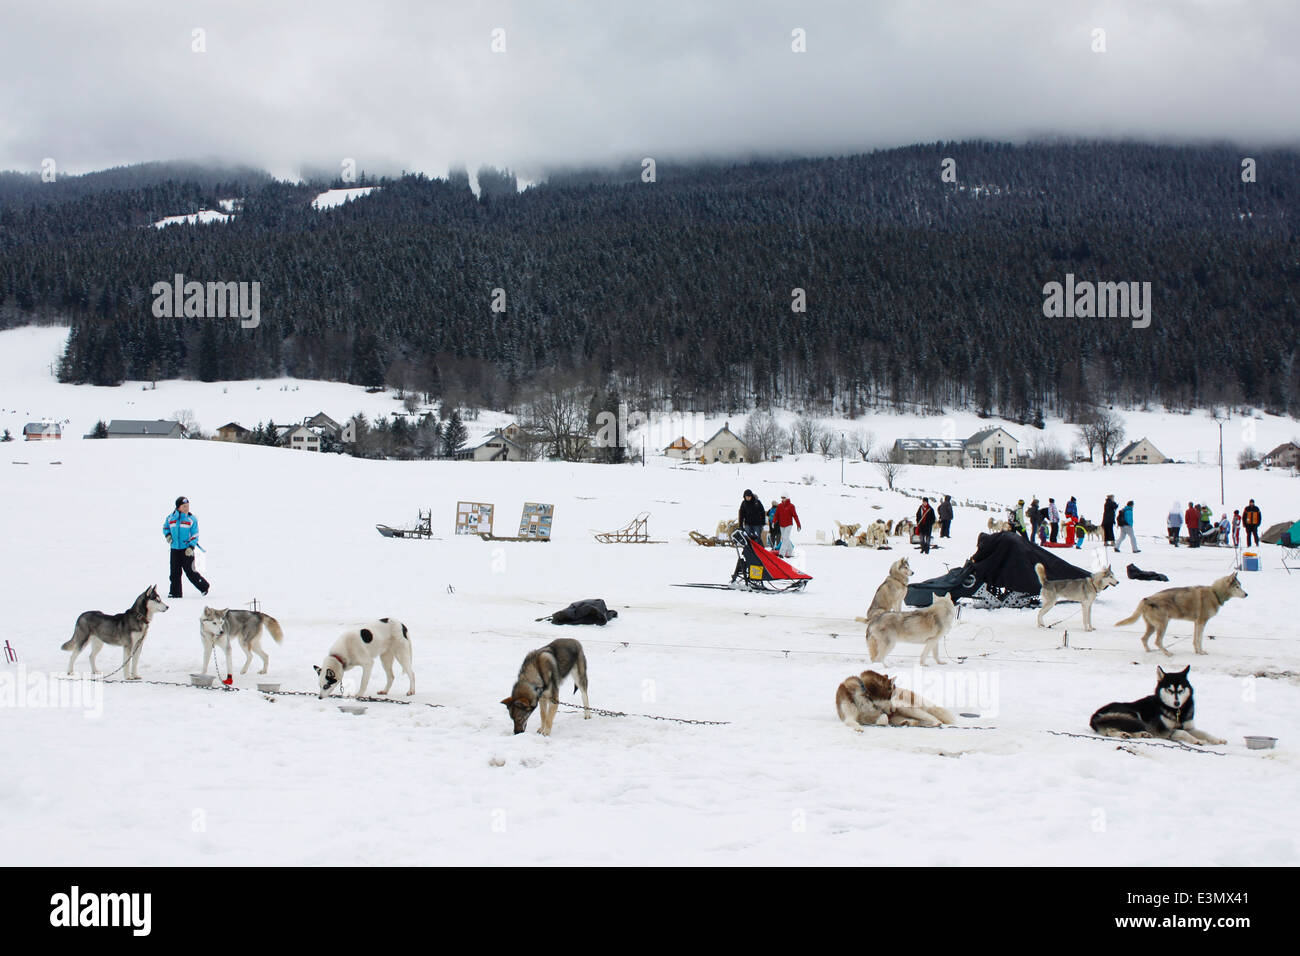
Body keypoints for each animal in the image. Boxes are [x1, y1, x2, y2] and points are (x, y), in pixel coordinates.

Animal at [1092, 665, 1222, 749]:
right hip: (1131, 714)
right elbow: (1182, 732)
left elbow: (1204, 733)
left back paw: (1138, 734)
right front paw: (1197, 740)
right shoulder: (1164, 730)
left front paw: (1217, 740)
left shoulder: (1189, 727)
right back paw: (1124, 734)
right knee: (1110, 730)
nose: (1177, 703)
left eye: (1180, 690)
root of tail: (1094, 715)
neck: (1176, 712)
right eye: (1170, 690)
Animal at [1112, 572, 1242, 655]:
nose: (1245, 594)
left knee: (1144, 639)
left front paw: (1197, 651)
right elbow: (1199, 639)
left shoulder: (1197, 623)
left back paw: (1149, 651)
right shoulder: (1201, 622)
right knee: (1157, 641)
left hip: (1152, 627)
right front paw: (1201, 652)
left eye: (1240, 586)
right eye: (1237, 587)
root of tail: (1146, 599)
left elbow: (1195, 640)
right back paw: (1167, 653)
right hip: (1163, 625)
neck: (1215, 593)